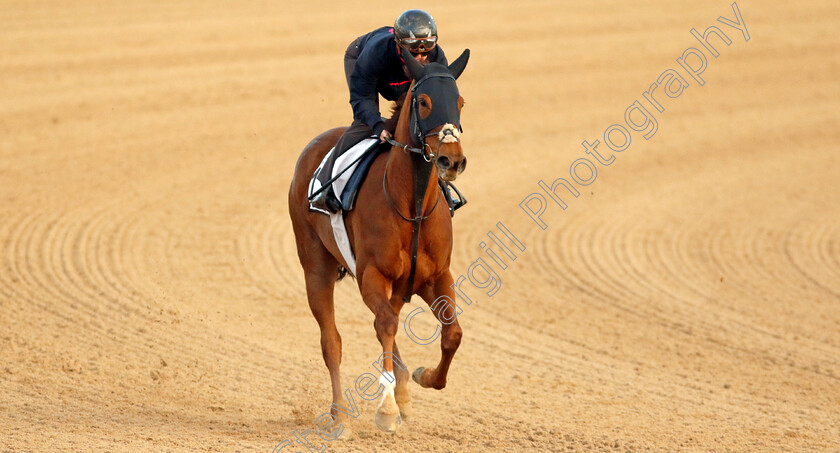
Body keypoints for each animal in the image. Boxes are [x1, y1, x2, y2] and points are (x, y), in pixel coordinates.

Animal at [288, 46, 472, 434]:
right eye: (424, 102)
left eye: (460, 102)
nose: (452, 160)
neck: (412, 206)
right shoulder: (372, 275)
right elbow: (385, 325)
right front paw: (386, 410)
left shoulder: (436, 277)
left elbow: (452, 334)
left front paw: (423, 376)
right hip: (316, 266)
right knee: (332, 341)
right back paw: (340, 414)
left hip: (398, 287)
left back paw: (403, 389)